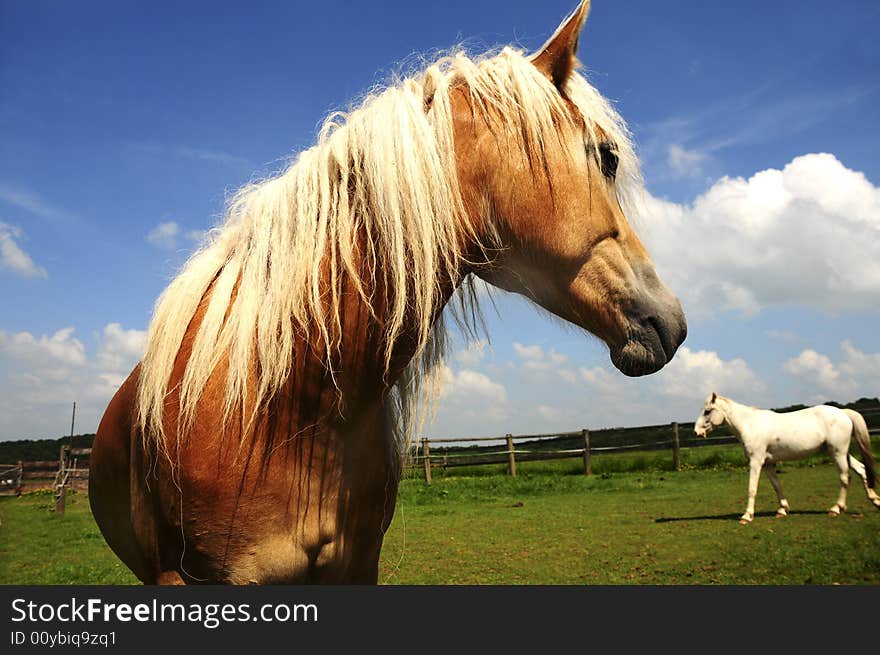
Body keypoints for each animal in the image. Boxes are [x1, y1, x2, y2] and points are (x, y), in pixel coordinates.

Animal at [696, 392, 880, 524]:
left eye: (707, 411)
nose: (697, 432)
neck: (750, 424)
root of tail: (843, 412)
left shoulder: (756, 462)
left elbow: (752, 488)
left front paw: (747, 516)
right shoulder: (768, 464)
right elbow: (777, 486)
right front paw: (782, 510)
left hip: (838, 452)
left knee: (845, 477)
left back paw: (836, 508)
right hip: (839, 452)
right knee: (862, 469)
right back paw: (875, 500)